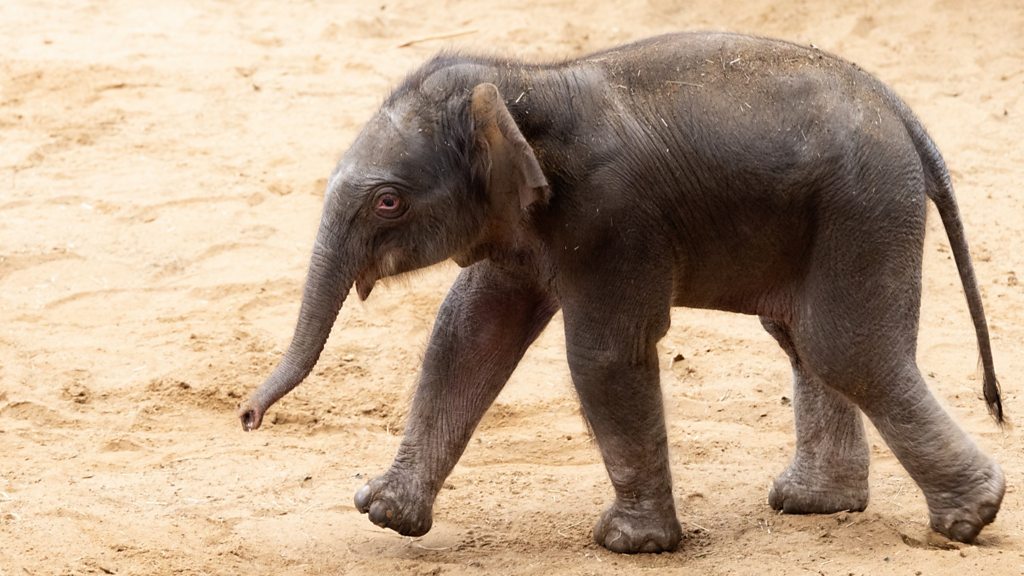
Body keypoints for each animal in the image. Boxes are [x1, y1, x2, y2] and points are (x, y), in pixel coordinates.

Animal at [235, 31, 1003, 553]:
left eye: (389, 202)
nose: (247, 418)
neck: (526, 83)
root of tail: (904, 115)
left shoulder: (612, 218)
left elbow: (602, 355)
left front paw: (631, 545)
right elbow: (467, 335)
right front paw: (385, 514)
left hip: (863, 208)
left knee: (845, 348)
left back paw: (971, 517)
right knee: (803, 340)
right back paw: (814, 504)